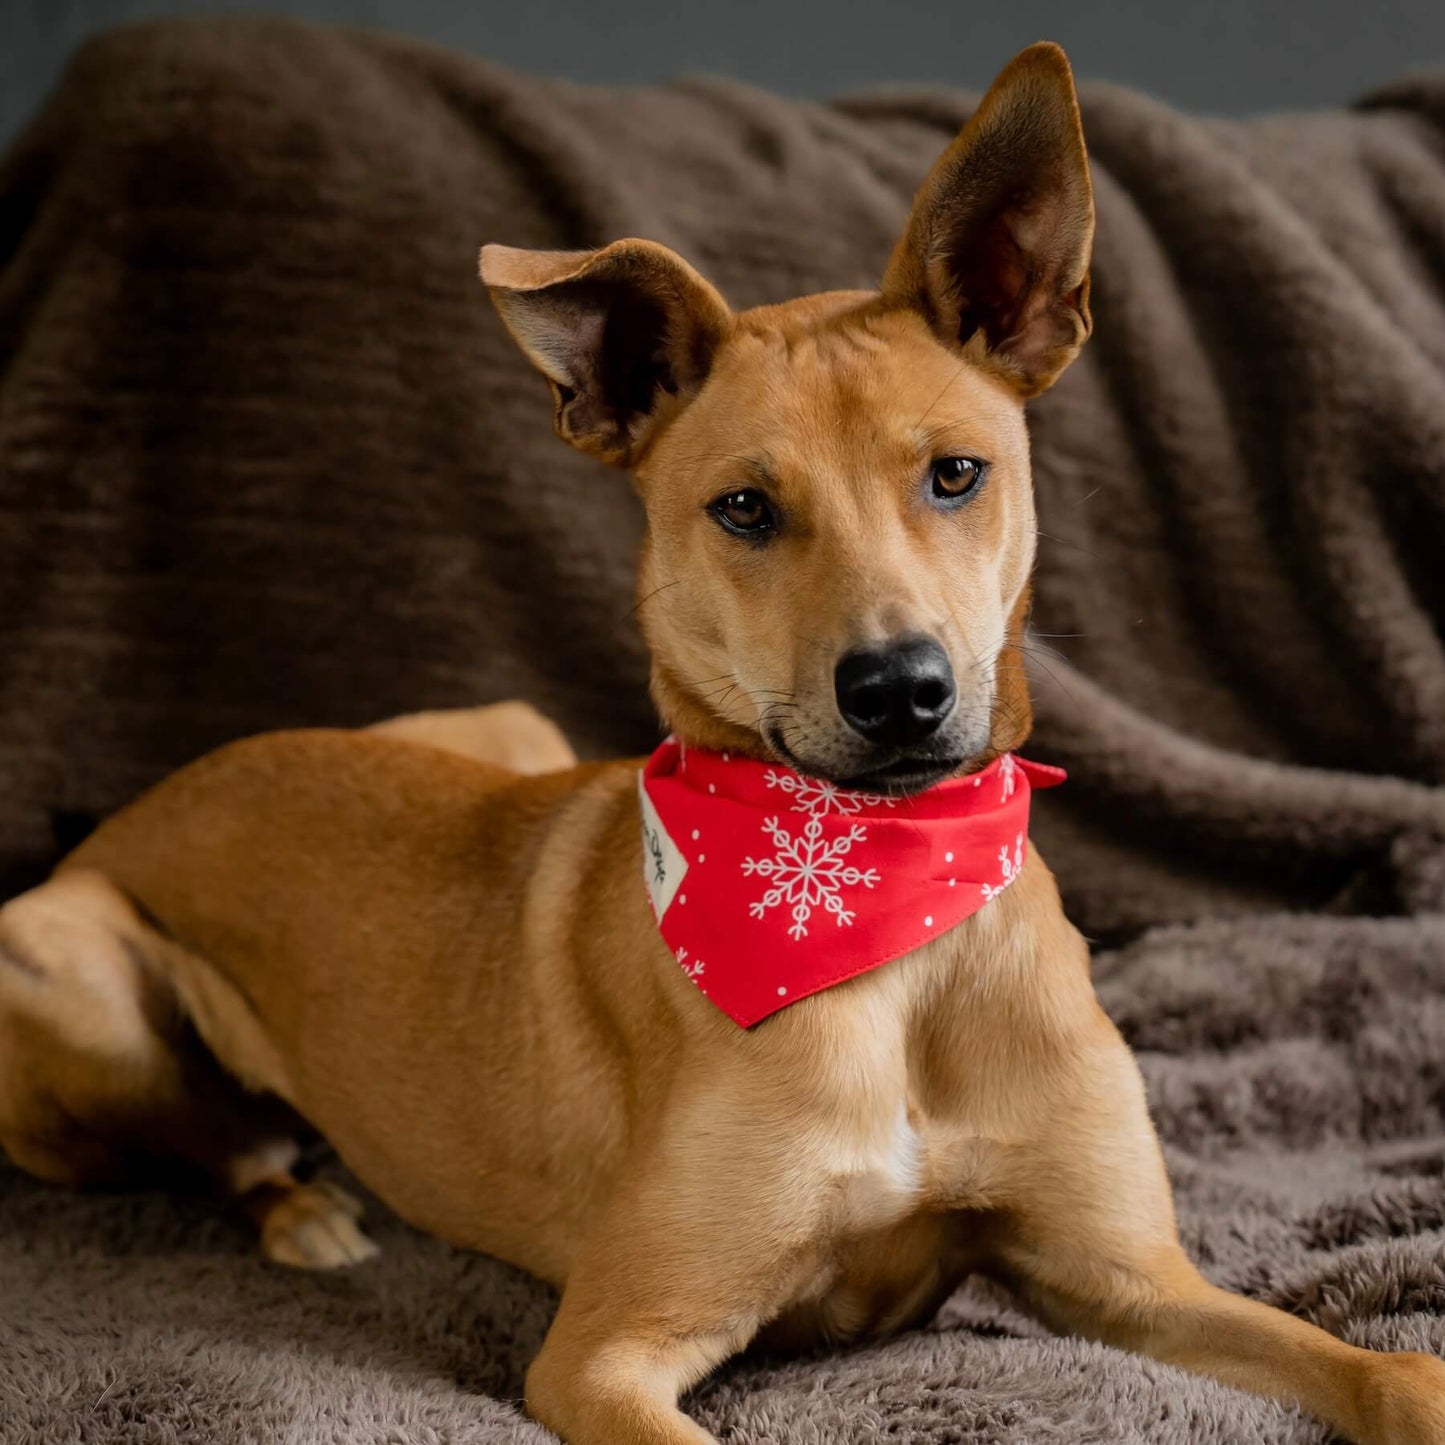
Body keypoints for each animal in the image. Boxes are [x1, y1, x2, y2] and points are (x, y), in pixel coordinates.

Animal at [2, 45, 1445, 1445]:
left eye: (955, 473)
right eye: (744, 508)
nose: (899, 690)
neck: (880, 906)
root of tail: (158, 788)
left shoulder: (1130, 1280)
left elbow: (1379, 1371)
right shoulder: (604, 1356)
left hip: (506, 726)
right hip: (64, 957)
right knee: (214, 1146)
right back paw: (297, 1204)